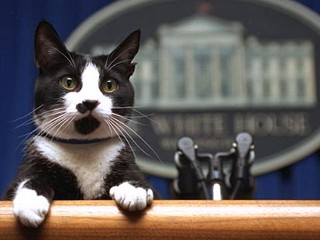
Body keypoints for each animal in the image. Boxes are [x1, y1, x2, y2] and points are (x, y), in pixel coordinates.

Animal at [3, 20, 154, 227]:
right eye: (68, 82)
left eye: (109, 85)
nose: (90, 102)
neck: (83, 148)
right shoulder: (34, 161)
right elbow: (29, 179)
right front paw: (30, 202)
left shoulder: (124, 158)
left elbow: (134, 176)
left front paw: (134, 189)